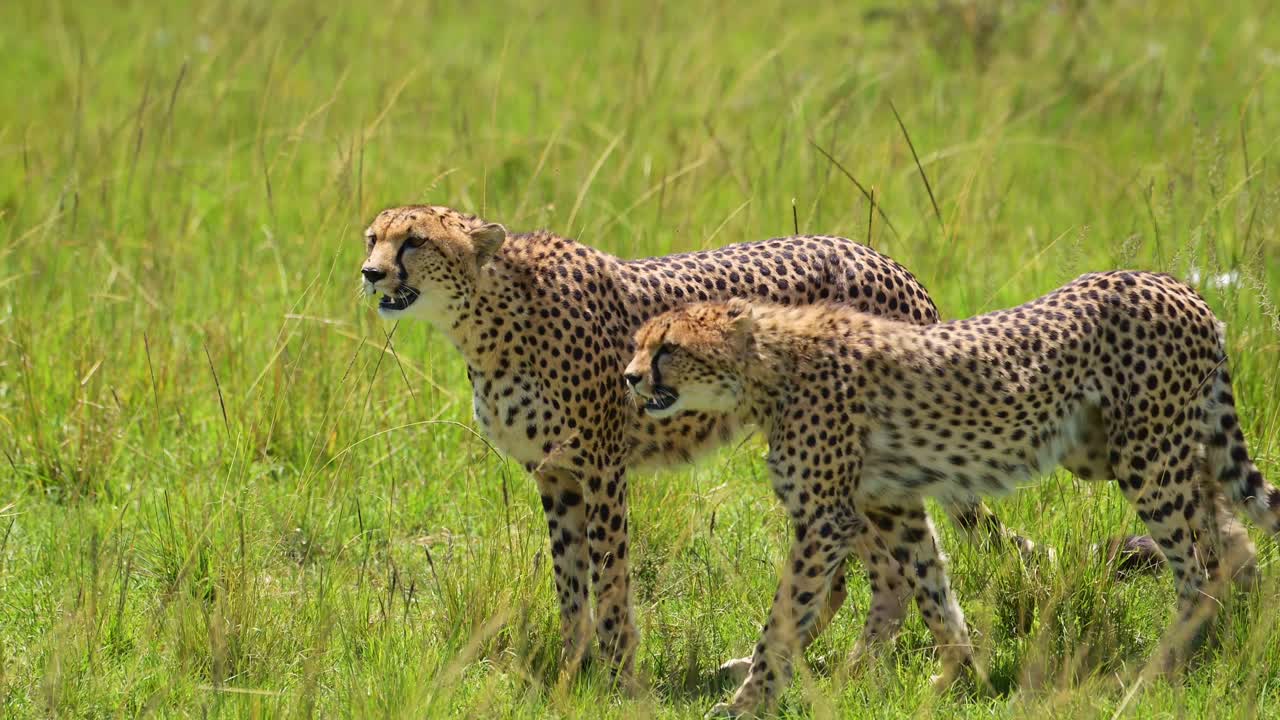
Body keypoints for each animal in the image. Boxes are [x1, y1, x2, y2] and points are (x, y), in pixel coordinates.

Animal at [359, 204, 1121, 687]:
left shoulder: (601, 468)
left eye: (414, 241)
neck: (486, 319)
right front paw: (574, 670)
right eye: (371, 237)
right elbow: (570, 581)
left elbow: (609, 578)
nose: (370, 273)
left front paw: (619, 676)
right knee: (877, 572)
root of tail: (887, 260)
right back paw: (813, 668)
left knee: (886, 571)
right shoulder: (556, 475)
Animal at [624, 271, 1271, 717]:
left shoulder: (828, 519)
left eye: (669, 348)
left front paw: (745, 701)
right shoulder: (891, 504)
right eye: (638, 344)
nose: (629, 378)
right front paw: (954, 678)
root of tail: (1176, 285)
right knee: (1228, 533)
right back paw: (1239, 642)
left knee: (1196, 572)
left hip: (1147, 456)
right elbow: (931, 587)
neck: (769, 364)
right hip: (1129, 450)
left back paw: (1152, 675)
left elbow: (786, 614)